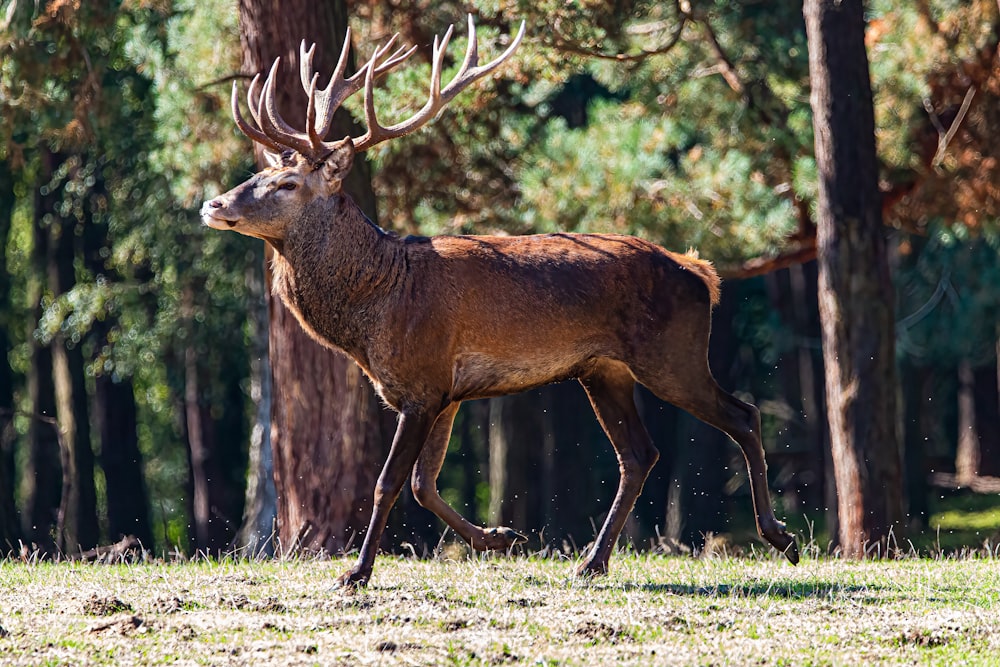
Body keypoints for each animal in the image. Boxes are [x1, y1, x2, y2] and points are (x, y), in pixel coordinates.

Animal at [201, 17, 796, 588]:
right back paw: (592, 562)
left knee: (743, 415)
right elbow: (423, 484)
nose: (214, 204)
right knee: (639, 454)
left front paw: (357, 573)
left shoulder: (422, 381)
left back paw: (779, 536)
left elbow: (389, 482)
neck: (374, 310)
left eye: (287, 183)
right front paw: (502, 537)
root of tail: (702, 274)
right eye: (258, 172)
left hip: (672, 354)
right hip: (604, 369)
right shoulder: (444, 390)